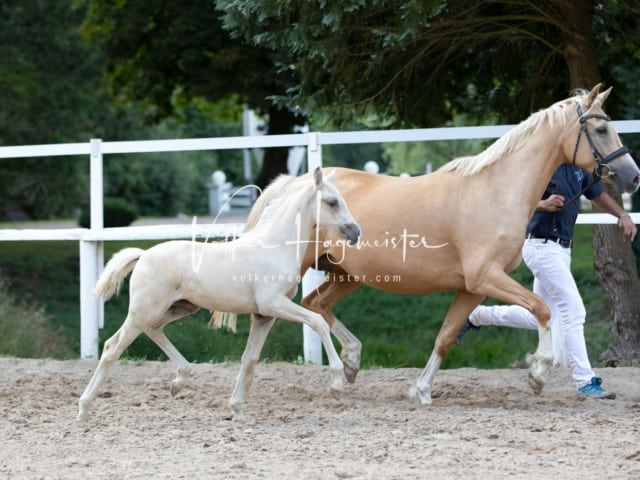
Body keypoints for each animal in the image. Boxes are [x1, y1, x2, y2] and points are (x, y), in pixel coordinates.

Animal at [75, 168, 360, 420]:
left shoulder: (264, 316)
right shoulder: (274, 304)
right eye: (332, 202)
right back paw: (84, 409)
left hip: (178, 308)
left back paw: (178, 381)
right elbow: (318, 322)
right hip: (143, 312)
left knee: (152, 330)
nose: (356, 232)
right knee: (112, 348)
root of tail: (143, 255)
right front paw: (337, 383)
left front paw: (238, 412)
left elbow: (250, 359)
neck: (274, 247)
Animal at [222, 85, 636, 408]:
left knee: (315, 304)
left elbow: (447, 335)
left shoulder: (472, 288)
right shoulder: (487, 277)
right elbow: (542, 308)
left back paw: (352, 361)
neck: (494, 191)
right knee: (284, 310)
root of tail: (294, 183)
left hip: (346, 273)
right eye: (601, 128)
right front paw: (537, 373)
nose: (633, 176)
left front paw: (420, 390)